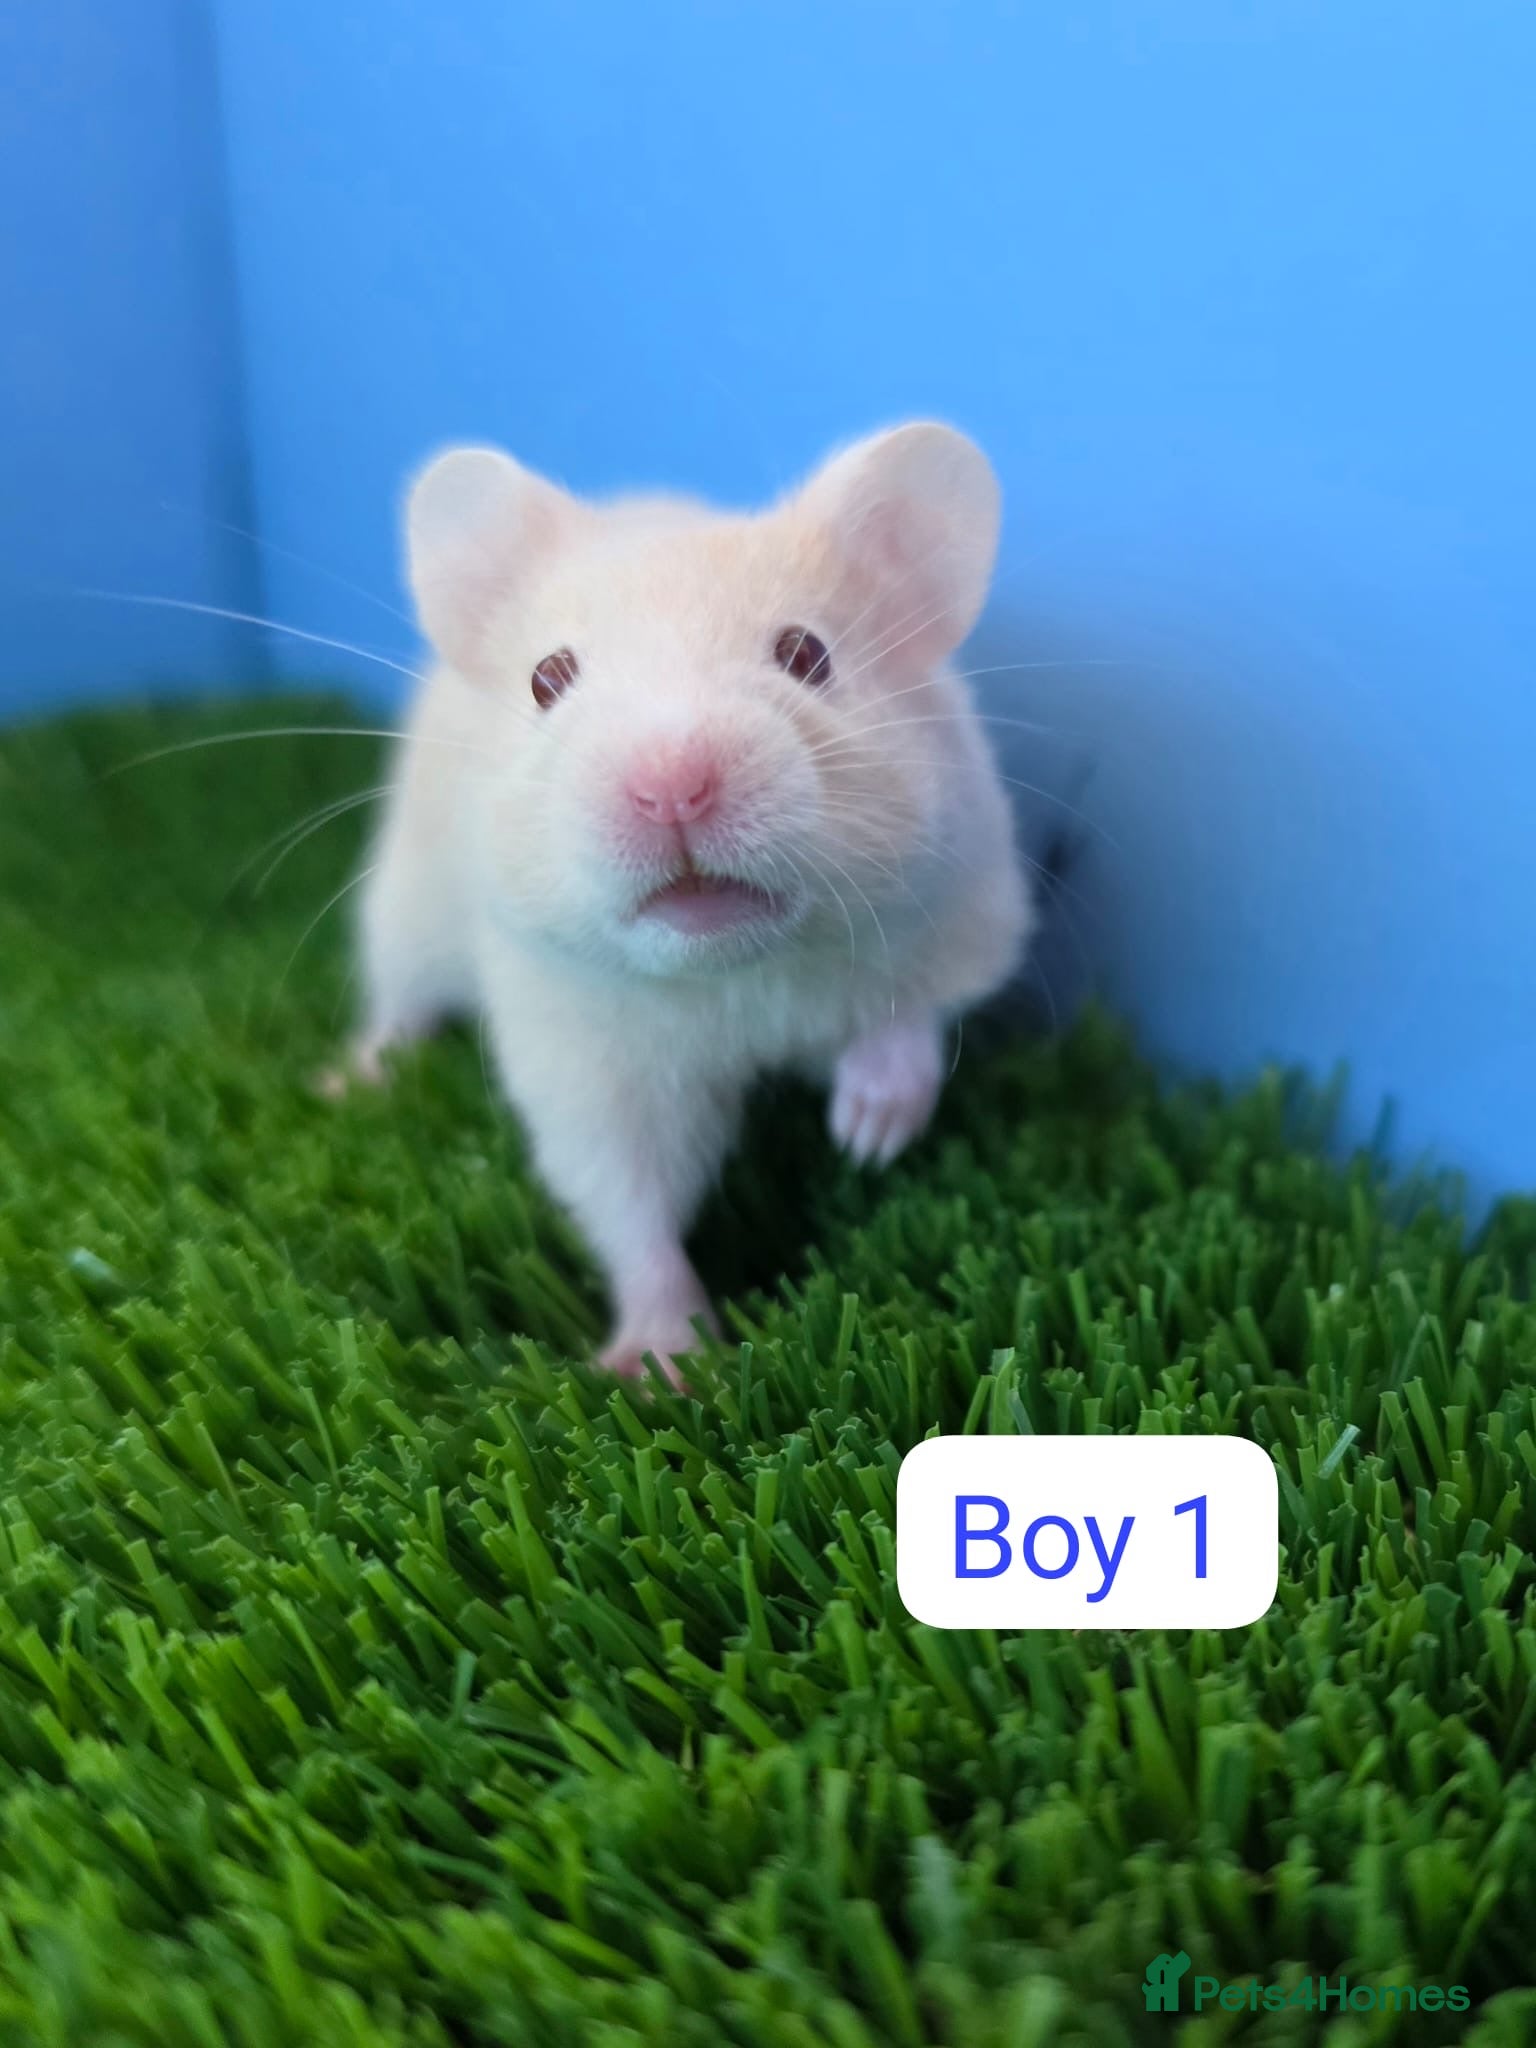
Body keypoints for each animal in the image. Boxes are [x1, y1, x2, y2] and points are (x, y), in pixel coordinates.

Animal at [337, 422, 1035, 1380]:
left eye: (807, 655)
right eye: (547, 679)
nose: (673, 788)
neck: (735, 973)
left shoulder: (964, 902)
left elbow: (912, 1017)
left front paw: (868, 1135)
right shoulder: (591, 1071)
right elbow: (631, 1208)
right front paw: (663, 1369)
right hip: (401, 915)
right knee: (397, 1004)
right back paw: (348, 1081)